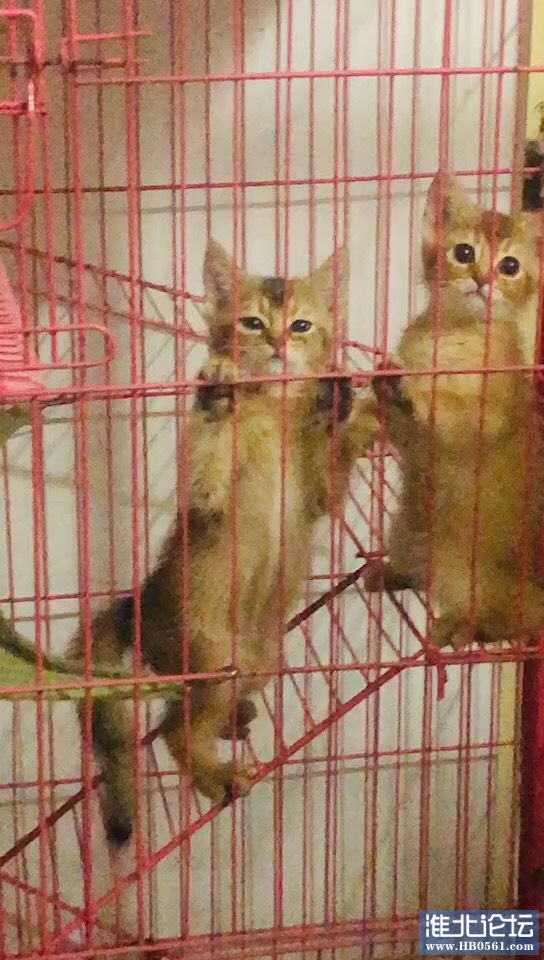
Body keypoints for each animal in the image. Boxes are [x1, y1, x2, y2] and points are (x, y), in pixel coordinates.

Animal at [68, 238, 380, 847]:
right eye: (251, 323)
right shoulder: (207, 497)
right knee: (174, 729)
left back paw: (235, 722)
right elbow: (210, 456)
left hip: (260, 659)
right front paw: (217, 387)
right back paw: (216, 776)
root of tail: (140, 603)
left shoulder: (316, 496)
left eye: (302, 325)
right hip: (214, 661)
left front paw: (354, 411)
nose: (279, 344)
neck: (275, 413)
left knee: (189, 712)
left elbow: (332, 464)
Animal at [366, 172, 544, 651]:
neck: (450, 333)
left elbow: (450, 410)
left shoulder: (484, 414)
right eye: (464, 253)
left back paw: (461, 626)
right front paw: (382, 392)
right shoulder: (410, 439)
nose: (482, 280)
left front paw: (416, 390)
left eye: (510, 266)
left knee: (506, 621)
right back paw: (390, 573)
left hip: (467, 571)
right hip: (406, 527)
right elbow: (397, 423)